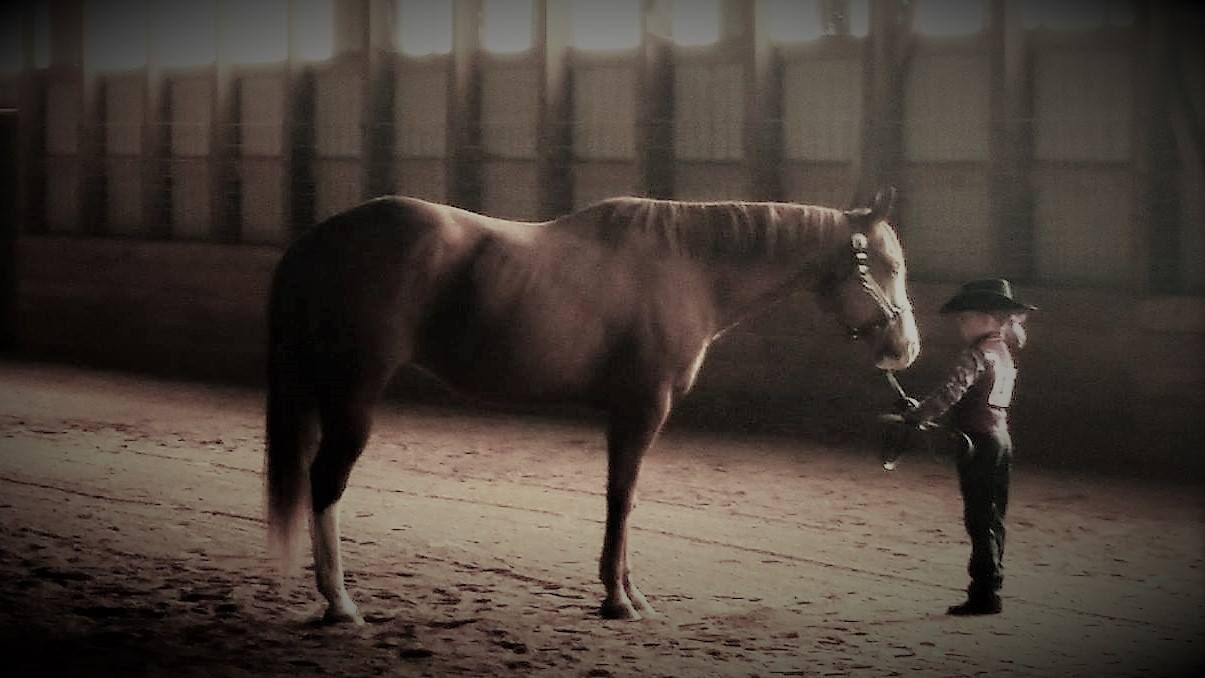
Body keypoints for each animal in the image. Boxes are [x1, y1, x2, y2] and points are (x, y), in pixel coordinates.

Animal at [264, 187, 920, 623]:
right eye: (888, 265)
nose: (905, 348)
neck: (689, 269)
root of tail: (318, 239)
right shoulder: (643, 407)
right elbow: (622, 499)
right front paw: (619, 599)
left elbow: (621, 499)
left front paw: (626, 593)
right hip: (354, 393)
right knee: (326, 483)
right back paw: (341, 604)